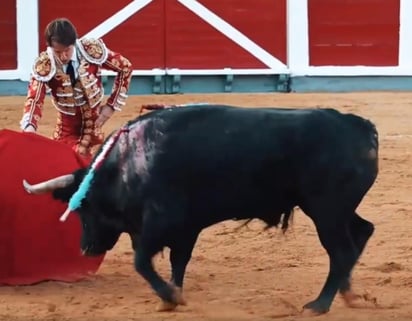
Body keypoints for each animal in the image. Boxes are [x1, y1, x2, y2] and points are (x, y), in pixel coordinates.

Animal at [22, 104, 378, 314]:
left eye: (84, 208)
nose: (85, 248)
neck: (128, 162)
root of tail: (358, 126)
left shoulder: (161, 222)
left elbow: (142, 262)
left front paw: (169, 296)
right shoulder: (185, 227)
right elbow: (178, 261)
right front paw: (174, 295)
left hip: (326, 210)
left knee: (342, 250)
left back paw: (319, 304)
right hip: (335, 210)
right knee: (361, 232)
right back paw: (347, 294)